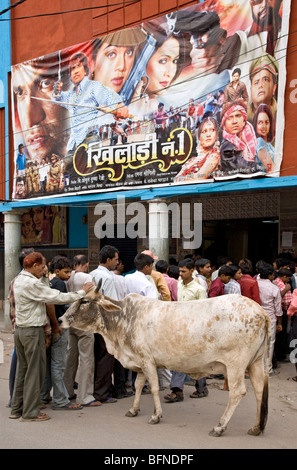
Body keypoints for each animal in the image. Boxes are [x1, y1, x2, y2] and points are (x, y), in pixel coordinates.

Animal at [61, 282, 270, 436]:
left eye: (85, 301)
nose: (62, 319)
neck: (123, 318)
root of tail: (260, 311)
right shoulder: (140, 362)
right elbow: (138, 385)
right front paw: (133, 410)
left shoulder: (147, 361)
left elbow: (153, 387)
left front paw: (156, 416)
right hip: (255, 362)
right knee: (259, 390)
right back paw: (256, 427)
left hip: (236, 365)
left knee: (237, 392)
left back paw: (219, 426)